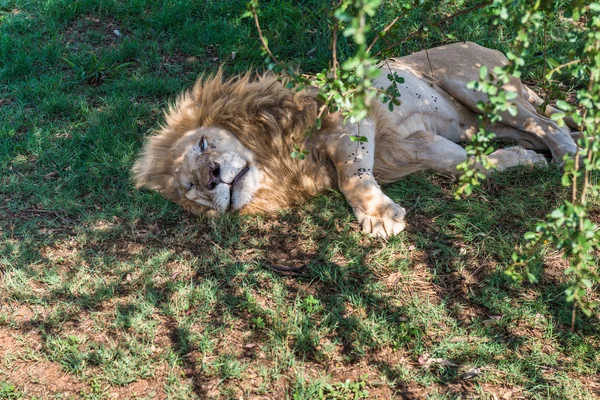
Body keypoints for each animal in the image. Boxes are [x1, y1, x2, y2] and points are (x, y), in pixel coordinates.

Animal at [134, 41, 580, 238]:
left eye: (204, 144)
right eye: (189, 187)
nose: (211, 176)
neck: (277, 161)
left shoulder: (350, 111)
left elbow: (352, 174)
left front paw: (379, 215)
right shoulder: (418, 145)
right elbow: (466, 166)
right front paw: (519, 162)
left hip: (476, 86)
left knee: (548, 124)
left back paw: (571, 159)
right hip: (482, 122)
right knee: (542, 125)